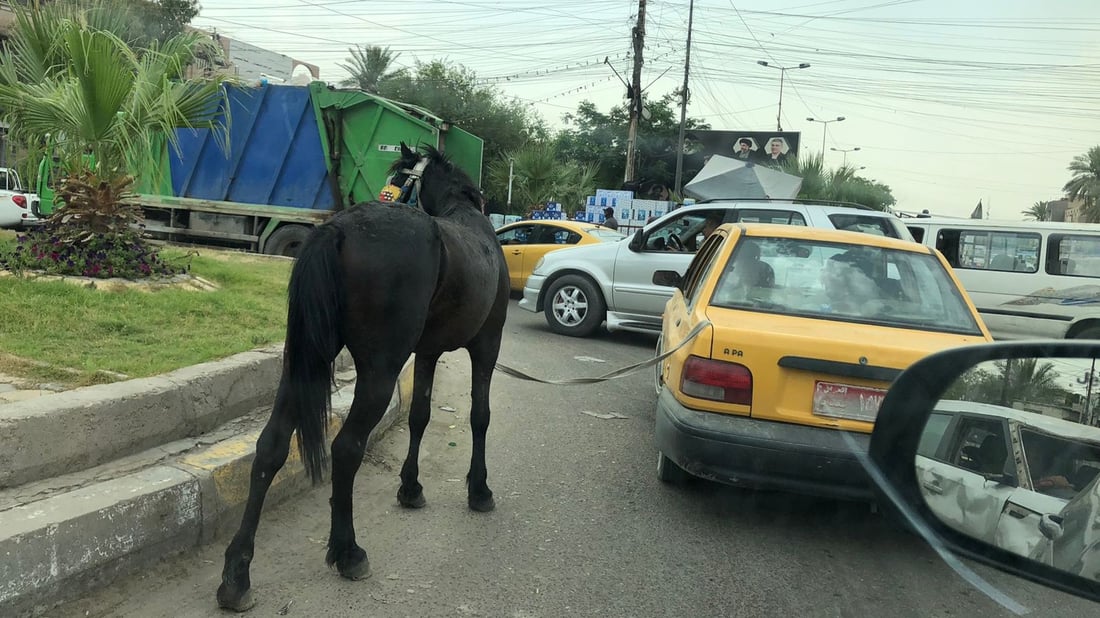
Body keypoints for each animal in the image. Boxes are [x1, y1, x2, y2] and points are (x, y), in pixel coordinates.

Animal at [216, 141, 508, 607]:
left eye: (398, 180)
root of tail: (339, 228)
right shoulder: (487, 347)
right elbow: (480, 417)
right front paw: (479, 490)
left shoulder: (427, 353)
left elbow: (420, 416)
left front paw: (411, 487)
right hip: (378, 372)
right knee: (347, 448)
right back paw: (348, 551)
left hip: (302, 365)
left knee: (270, 448)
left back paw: (237, 574)